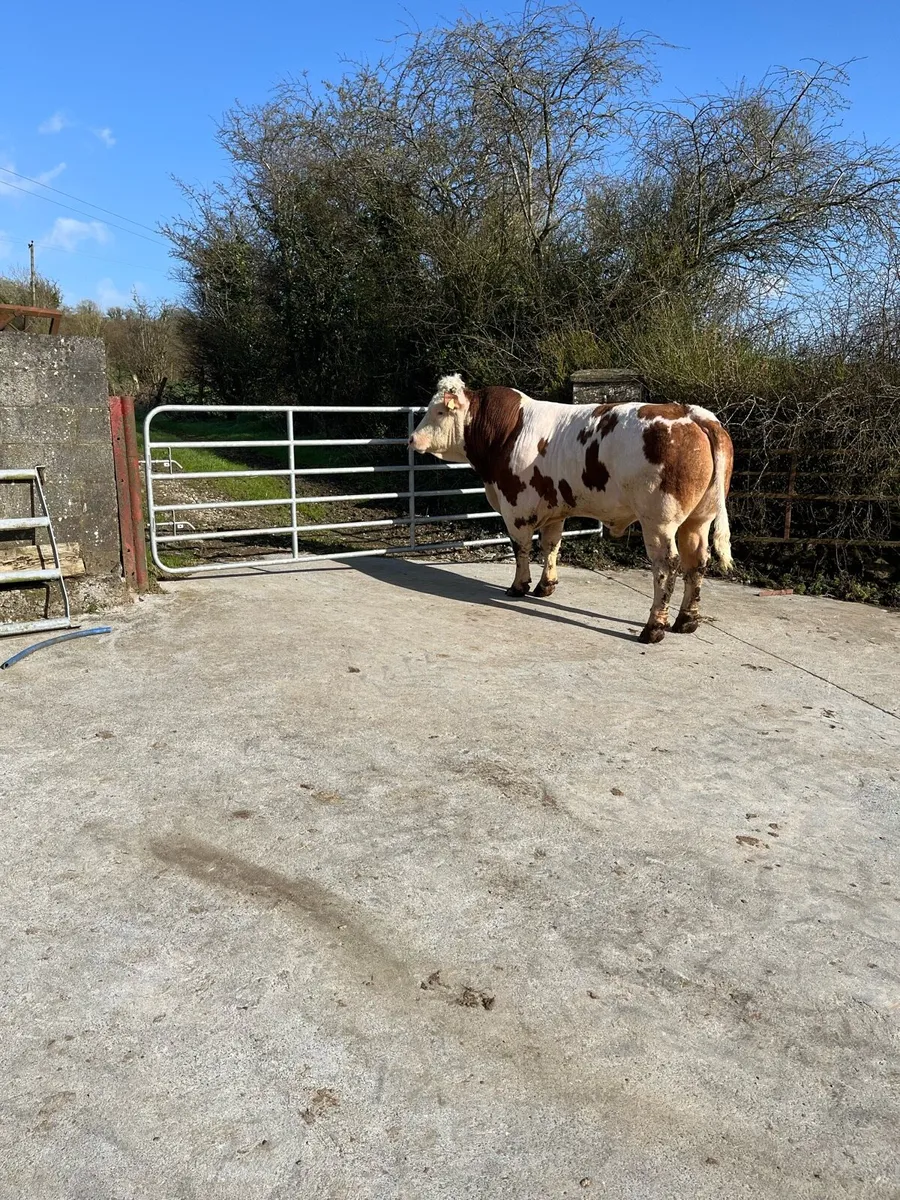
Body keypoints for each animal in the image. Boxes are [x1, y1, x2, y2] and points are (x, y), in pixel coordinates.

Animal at [410, 373, 734, 644]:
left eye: (439, 412)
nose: (412, 439)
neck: (505, 432)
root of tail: (690, 413)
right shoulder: (555, 510)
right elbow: (551, 545)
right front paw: (546, 586)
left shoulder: (516, 507)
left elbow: (521, 548)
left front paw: (518, 586)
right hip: (698, 519)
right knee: (697, 561)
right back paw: (686, 621)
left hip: (658, 521)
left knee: (667, 566)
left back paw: (654, 628)